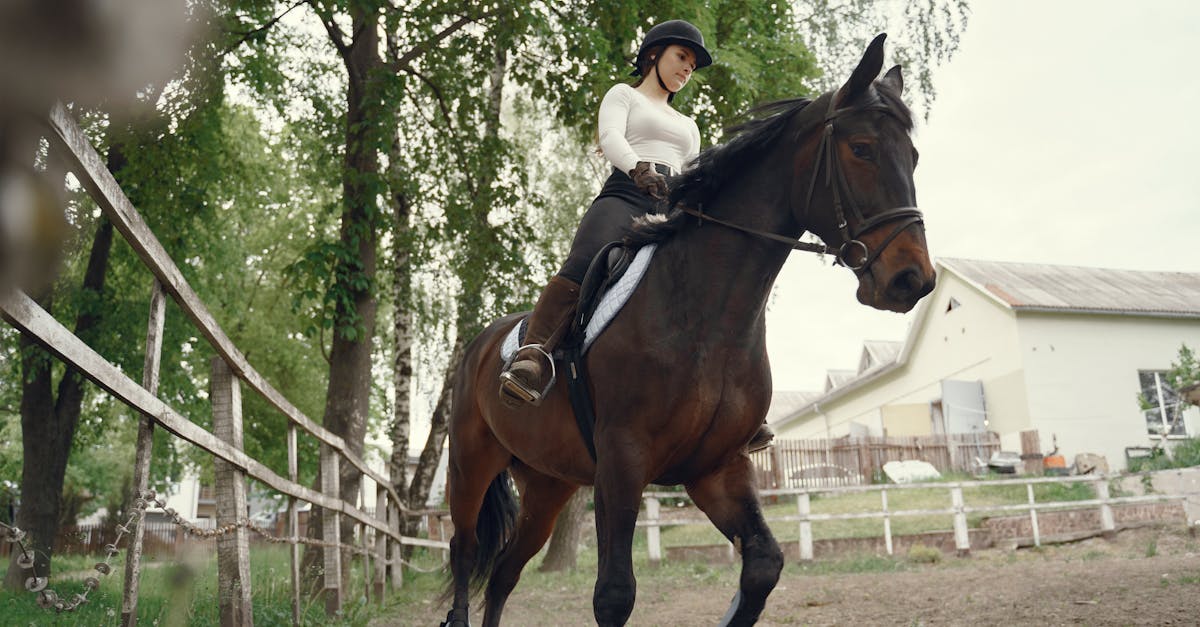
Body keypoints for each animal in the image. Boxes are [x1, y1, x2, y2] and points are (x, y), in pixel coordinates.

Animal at [441, 35, 936, 624]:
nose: (912, 280)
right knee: (465, 556)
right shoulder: (622, 462)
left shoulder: (717, 468)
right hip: (470, 466)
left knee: (503, 574)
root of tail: (481, 344)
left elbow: (763, 565)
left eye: (912, 158)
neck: (707, 319)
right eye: (861, 149)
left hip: (547, 485)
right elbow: (614, 594)